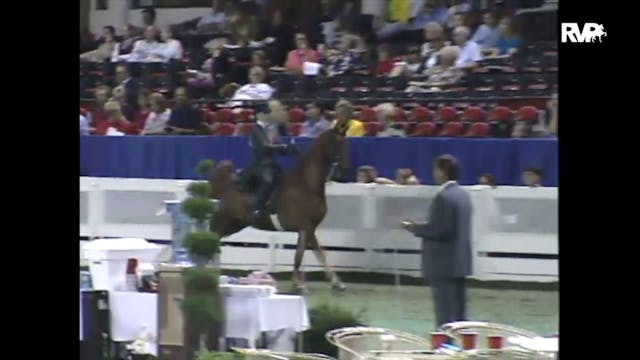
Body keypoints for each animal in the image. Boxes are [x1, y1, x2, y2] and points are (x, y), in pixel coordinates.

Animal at [209, 122, 350, 292]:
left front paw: (328, 282)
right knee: (211, 238)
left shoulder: (307, 229)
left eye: (345, 143)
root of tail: (227, 186)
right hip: (225, 222)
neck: (307, 184)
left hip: (235, 224)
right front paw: (304, 284)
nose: (344, 168)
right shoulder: (306, 227)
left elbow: (309, 254)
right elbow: (310, 254)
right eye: (337, 143)